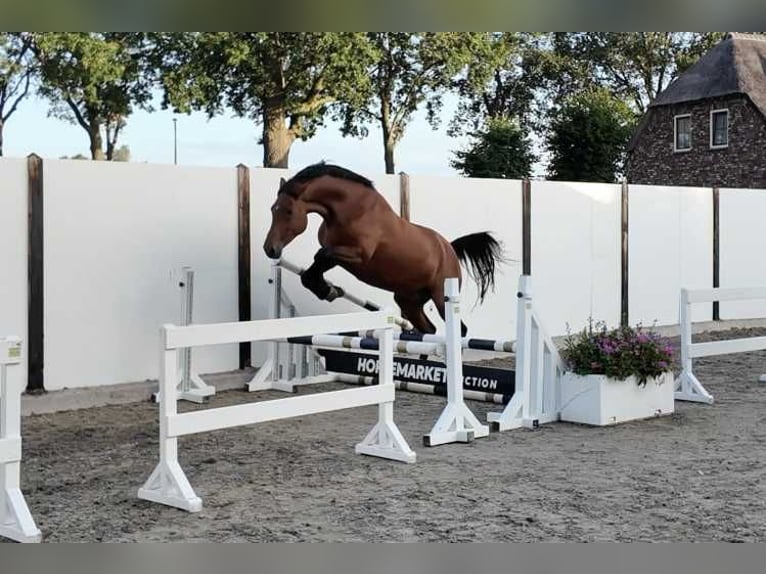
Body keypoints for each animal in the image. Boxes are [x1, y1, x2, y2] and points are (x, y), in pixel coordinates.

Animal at [263, 162, 505, 337]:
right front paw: (328, 290)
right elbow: (316, 265)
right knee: (429, 329)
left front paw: (328, 290)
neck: (350, 210)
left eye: (288, 211)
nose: (270, 249)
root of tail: (449, 249)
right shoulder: (337, 254)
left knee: (460, 330)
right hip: (409, 301)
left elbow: (321, 256)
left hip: (440, 297)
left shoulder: (358, 255)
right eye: (272, 209)